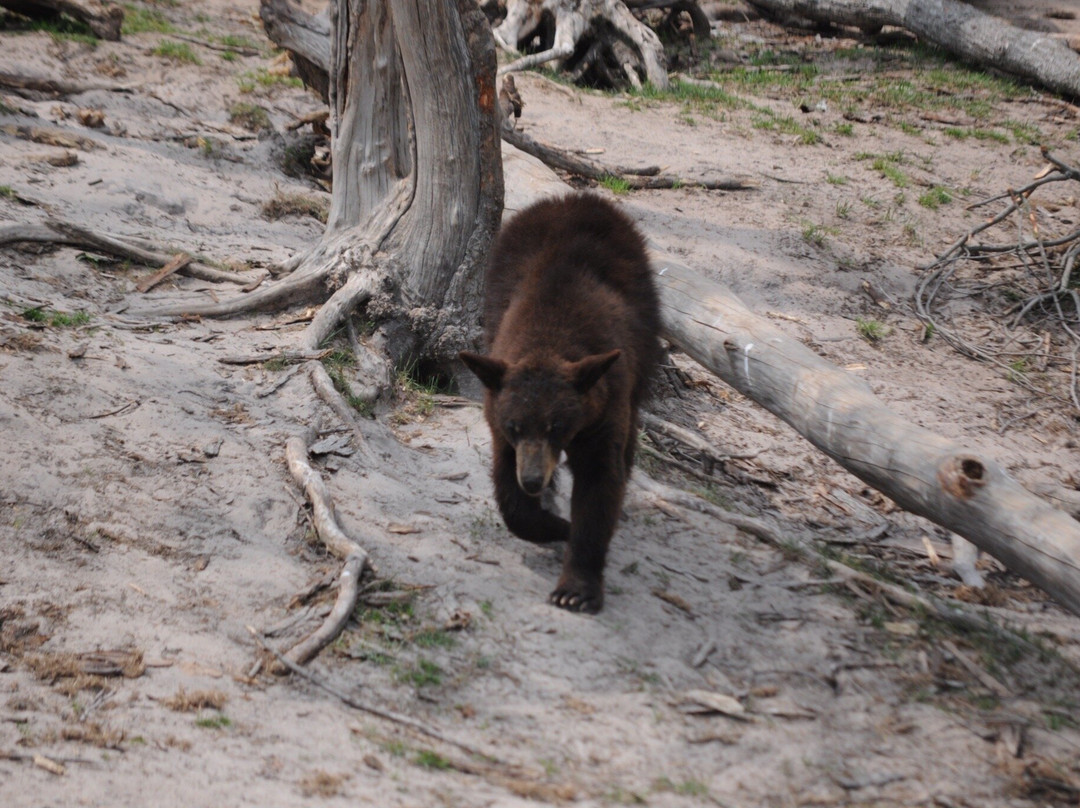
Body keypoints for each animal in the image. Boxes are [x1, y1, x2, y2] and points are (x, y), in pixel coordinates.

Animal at [460, 193, 662, 613]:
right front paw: (554, 523)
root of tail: (575, 197)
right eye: (515, 426)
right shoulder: (500, 413)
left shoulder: (604, 405)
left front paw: (576, 587)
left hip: (645, 317)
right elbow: (509, 491)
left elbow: (600, 482)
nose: (534, 479)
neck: (549, 335)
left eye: (559, 427)